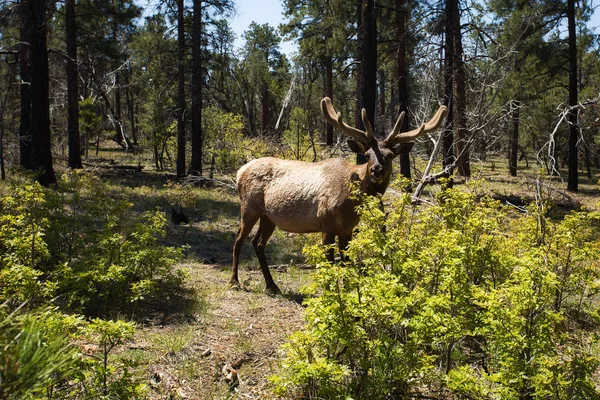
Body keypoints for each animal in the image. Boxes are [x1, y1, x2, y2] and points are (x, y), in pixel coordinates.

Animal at [232, 98, 448, 292]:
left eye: (390, 156)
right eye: (367, 155)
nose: (376, 170)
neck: (349, 204)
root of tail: (240, 171)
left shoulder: (347, 230)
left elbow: (346, 262)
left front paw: (347, 290)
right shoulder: (326, 224)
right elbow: (330, 263)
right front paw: (331, 293)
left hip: (269, 216)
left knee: (258, 243)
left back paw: (271, 285)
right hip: (249, 208)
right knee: (239, 240)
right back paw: (235, 282)